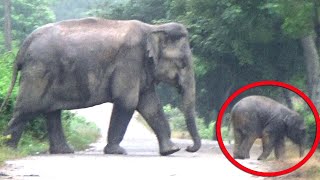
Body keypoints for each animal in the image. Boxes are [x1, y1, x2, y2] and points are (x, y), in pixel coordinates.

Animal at [0, 17, 200, 156]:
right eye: (183, 63)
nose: (189, 148)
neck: (153, 28)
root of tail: (25, 44)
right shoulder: (129, 61)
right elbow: (127, 101)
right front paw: (117, 152)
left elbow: (150, 105)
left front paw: (171, 151)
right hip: (39, 71)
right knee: (26, 109)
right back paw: (10, 150)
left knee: (51, 111)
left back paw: (64, 151)